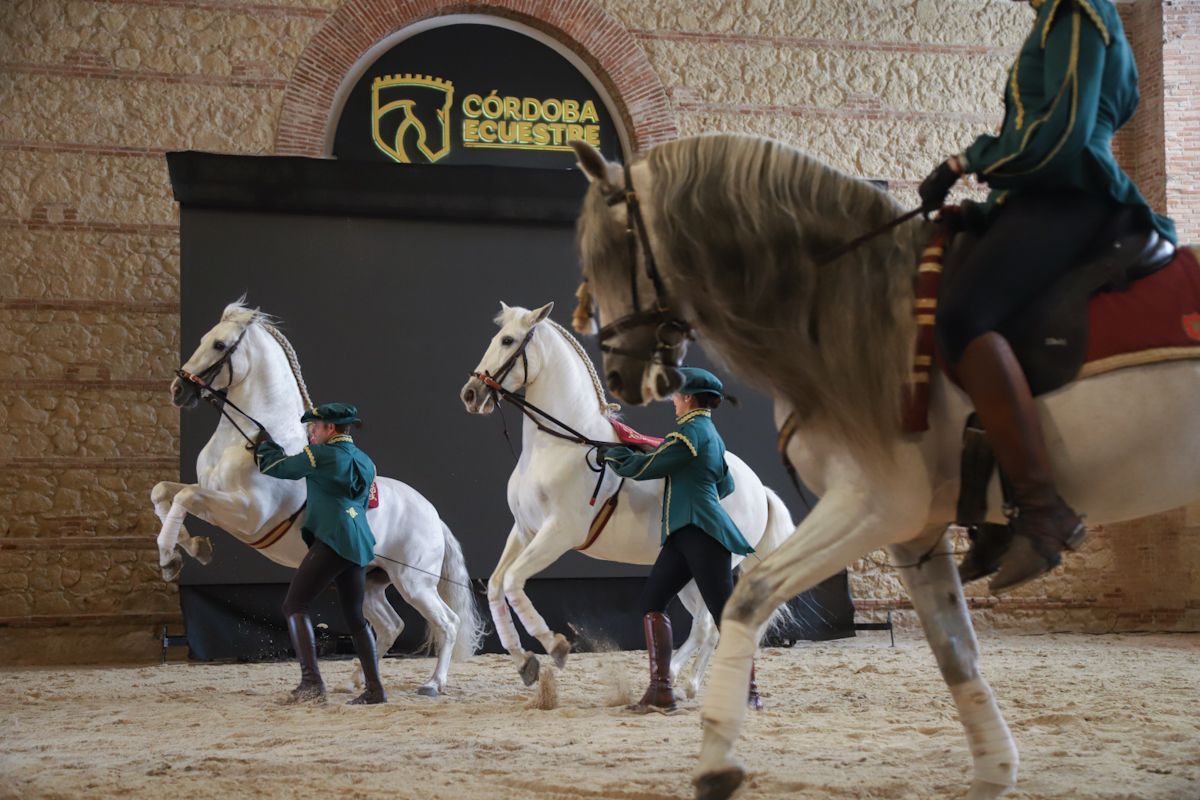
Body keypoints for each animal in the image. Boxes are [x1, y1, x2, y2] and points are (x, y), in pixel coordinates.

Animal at [154, 299, 482, 695]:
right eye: (203, 339)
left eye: (219, 345)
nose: (177, 390)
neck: (254, 439)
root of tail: (434, 517)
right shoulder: (213, 497)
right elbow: (165, 493)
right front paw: (191, 548)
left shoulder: (246, 514)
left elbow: (184, 497)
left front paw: (171, 559)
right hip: (373, 583)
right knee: (390, 626)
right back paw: (359, 678)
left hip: (414, 584)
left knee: (447, 623)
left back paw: (432, 683)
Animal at [458, 303, 796, 695]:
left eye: (508, 340)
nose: (470, 394)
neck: (565, 445)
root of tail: (760, 489)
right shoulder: (525, 530)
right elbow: (497, 587)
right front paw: (525, 662)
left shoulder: (557, 534)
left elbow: (513, 583)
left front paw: (555, 647)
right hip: (685, 573)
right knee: (708, 626)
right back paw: (684, 681)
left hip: (709, 566)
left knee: (708, 625)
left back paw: (679, 678)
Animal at [568, 134, 1200, 796]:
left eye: (611, 249)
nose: (619, 377)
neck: (848, 304)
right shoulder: (912, 528)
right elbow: (955, 648)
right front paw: (994, 770)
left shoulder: (877, 503)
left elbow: (749, 598)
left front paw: (716, 757)